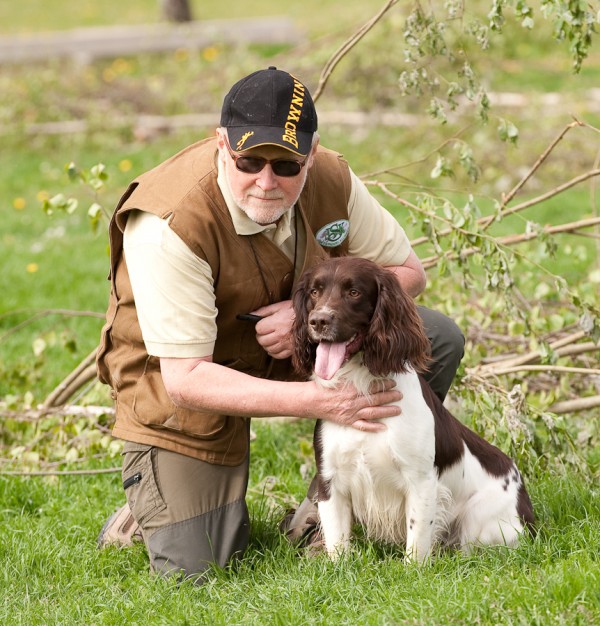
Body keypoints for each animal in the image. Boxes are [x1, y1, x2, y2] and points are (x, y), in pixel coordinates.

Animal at [290, 256, 536, 560]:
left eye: (354, 292)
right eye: (315, 292)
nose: (318, 320)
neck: (362, 384)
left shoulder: (421, 481)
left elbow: (417, 542)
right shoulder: (330, 480)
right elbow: (338, 545)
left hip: (479, 521)